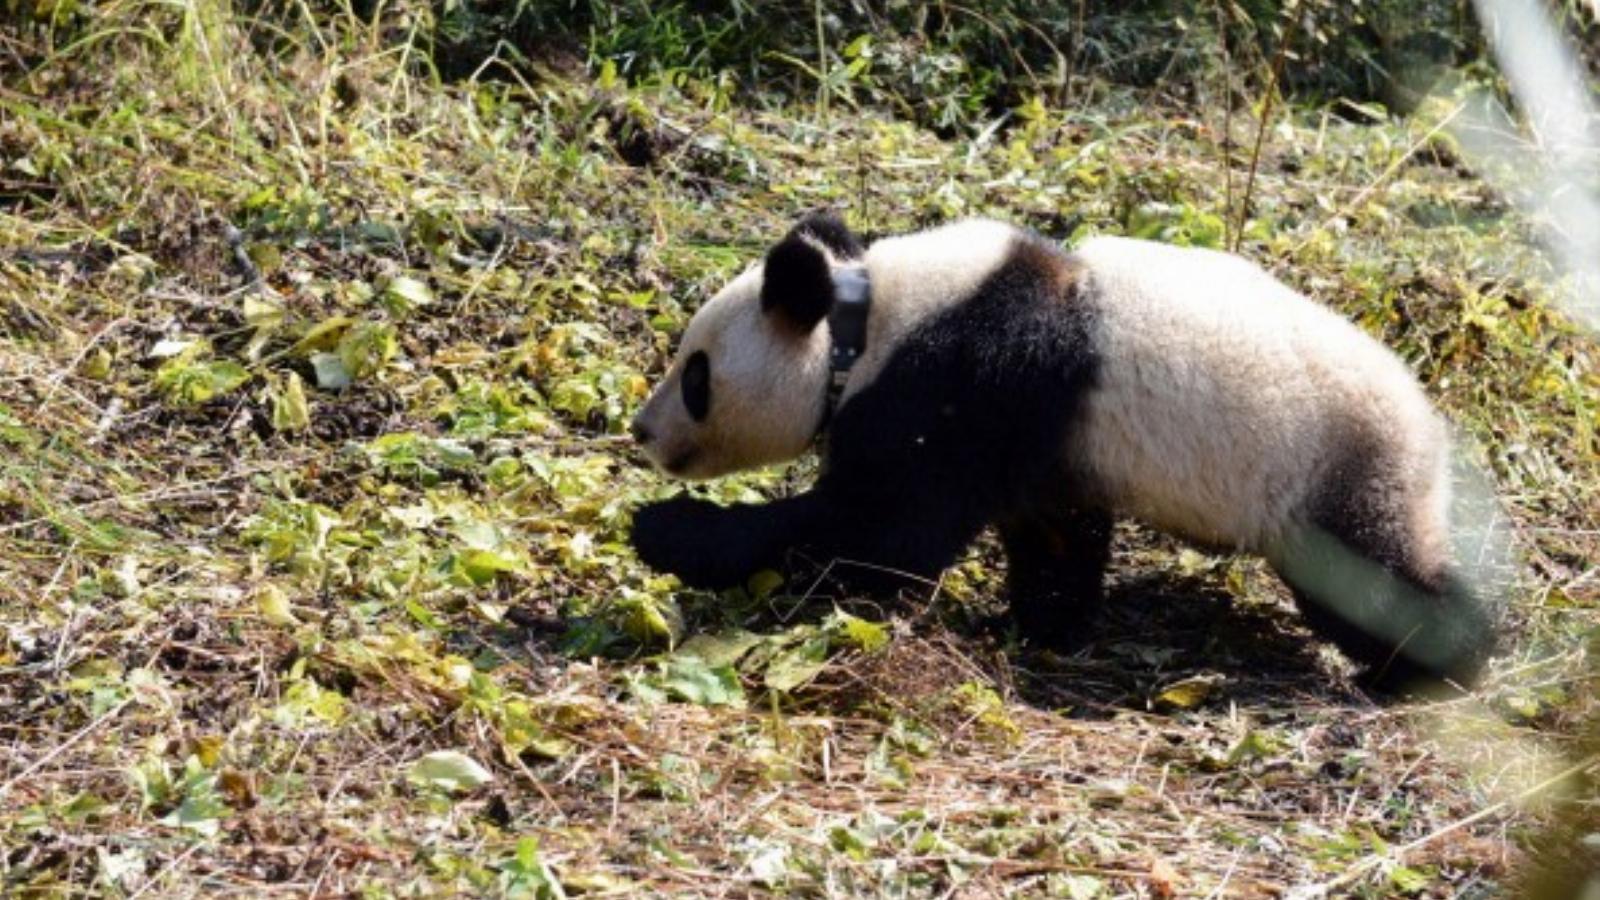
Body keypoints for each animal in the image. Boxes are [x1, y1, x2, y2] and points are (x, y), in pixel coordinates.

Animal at [627, 209, 1497, 685]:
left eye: (696, 375)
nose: (642, 430)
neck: (865, 320)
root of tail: (1429, 428)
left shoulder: (959, 378)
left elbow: (887, 534)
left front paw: (668, 530)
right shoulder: (1043, 443)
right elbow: (1053, 534)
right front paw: (1037, 625)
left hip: (1335, 468)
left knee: (1376, 581)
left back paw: (1442, 665)